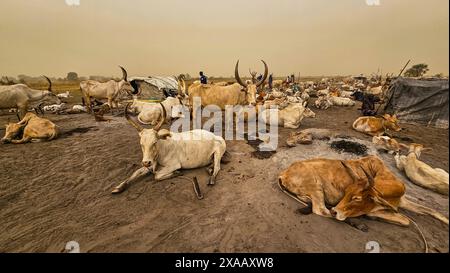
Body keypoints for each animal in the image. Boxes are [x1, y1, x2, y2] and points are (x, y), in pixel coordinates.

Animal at [280, 155, 448, 225]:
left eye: (357, 198)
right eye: (346, 192)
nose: (336, 210)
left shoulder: (403, 201)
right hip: (316, 187)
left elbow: (432, 211)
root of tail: (284, 173)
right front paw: (370, 217)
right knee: (322, 210)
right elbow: (405, 220)